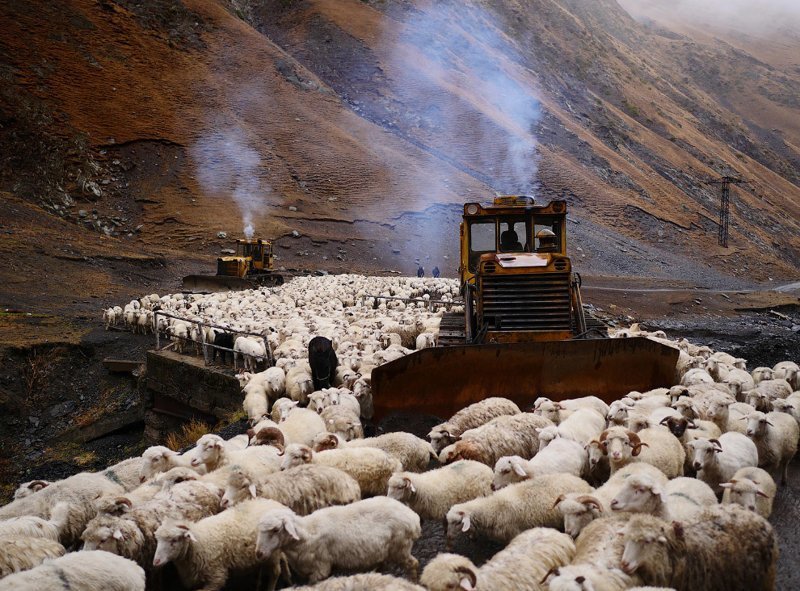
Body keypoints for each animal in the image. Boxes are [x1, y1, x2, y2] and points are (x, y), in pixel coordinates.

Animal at [256, 498, 422, 584]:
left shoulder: (320, 569)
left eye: (275, 529)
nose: (258, 554)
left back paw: (413, 582)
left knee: (413, 563)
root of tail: (413, 518)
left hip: (400, 548)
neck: (307, 532)